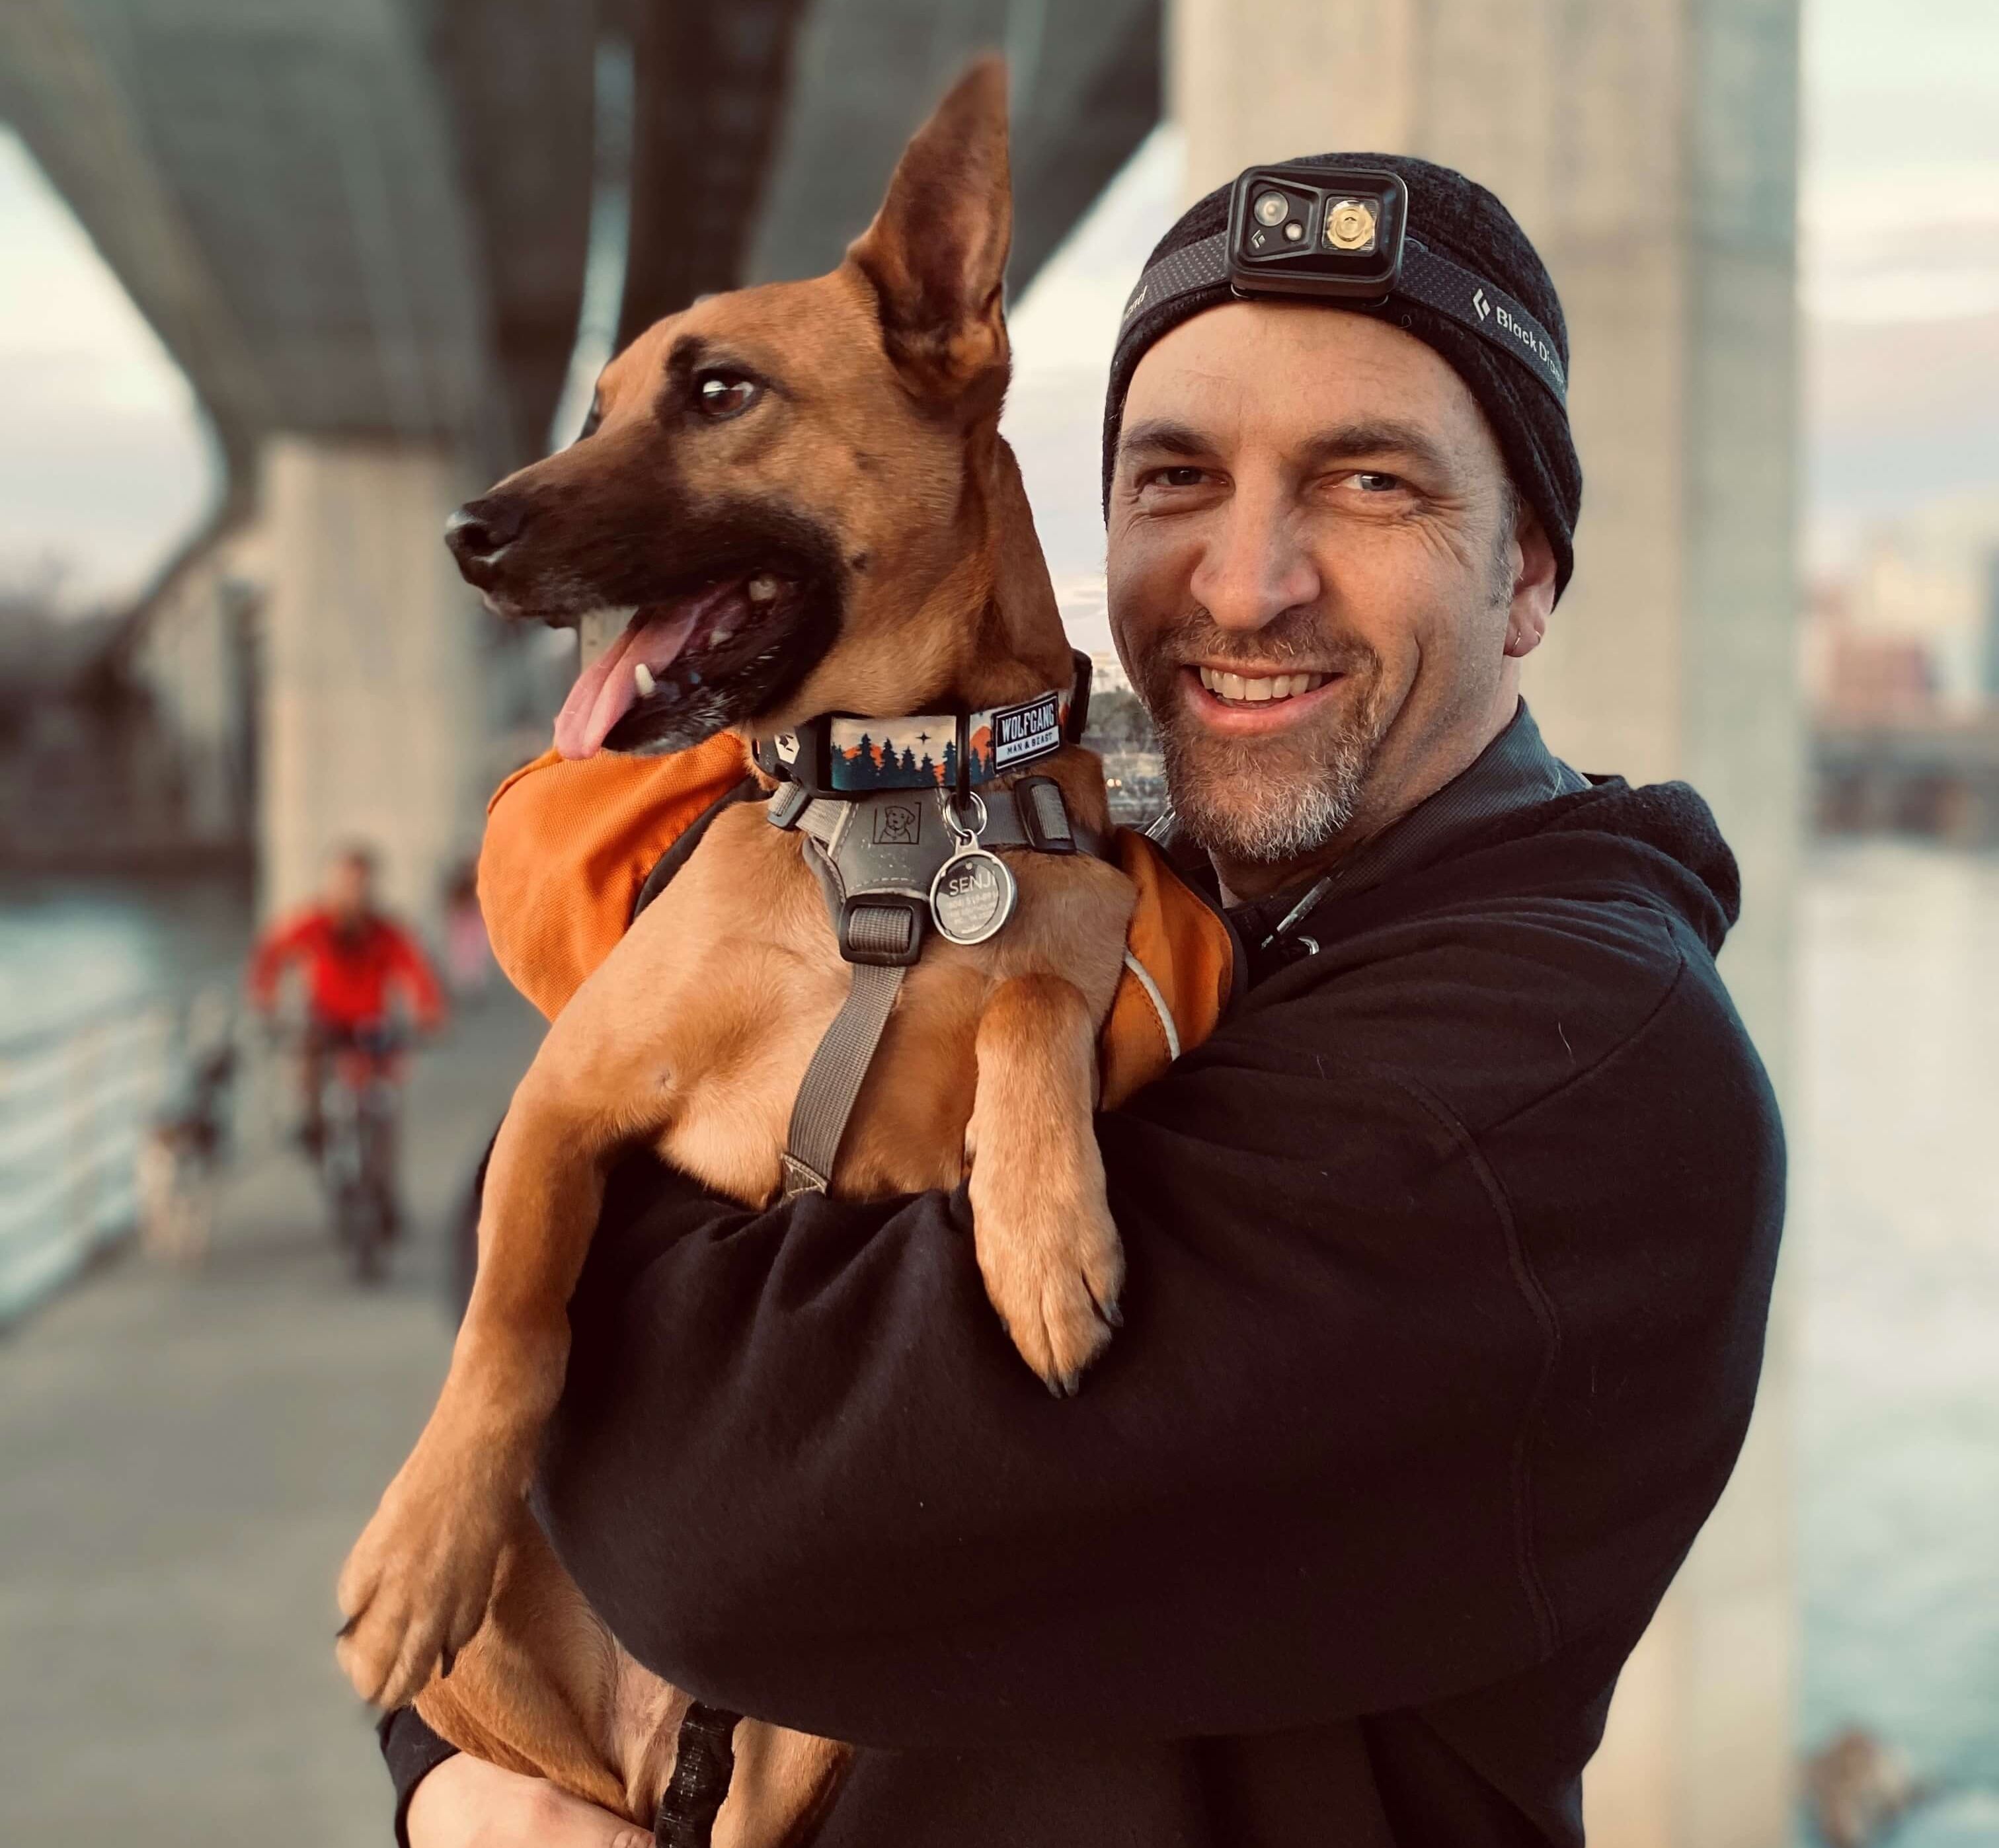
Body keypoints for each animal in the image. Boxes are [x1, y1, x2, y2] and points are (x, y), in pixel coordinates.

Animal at [336, 54, 1135, 1829]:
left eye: (717, 392)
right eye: (593, 406)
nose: (466, 531)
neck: (891, 803)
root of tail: (649, 1747)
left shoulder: (1060, 942)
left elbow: (1033, 992)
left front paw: (1047, 1236)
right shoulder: (564, 1108)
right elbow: (514, 1320)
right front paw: (424, 1541)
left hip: (811, 1738)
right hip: (532, 1718)